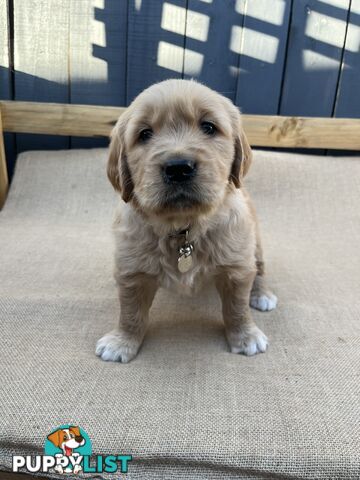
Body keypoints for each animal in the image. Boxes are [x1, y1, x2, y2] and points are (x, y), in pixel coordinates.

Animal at [95, 79, 276, 364]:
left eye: (208, 127)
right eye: (144, 134)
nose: (178, 167)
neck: (184, 229)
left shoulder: (236, 267)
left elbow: (236, 307)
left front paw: (246, 336)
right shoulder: (131, 270)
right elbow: (131, 312)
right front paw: (121, 341)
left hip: (253, 242)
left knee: (258, 268)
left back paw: (262, 294)